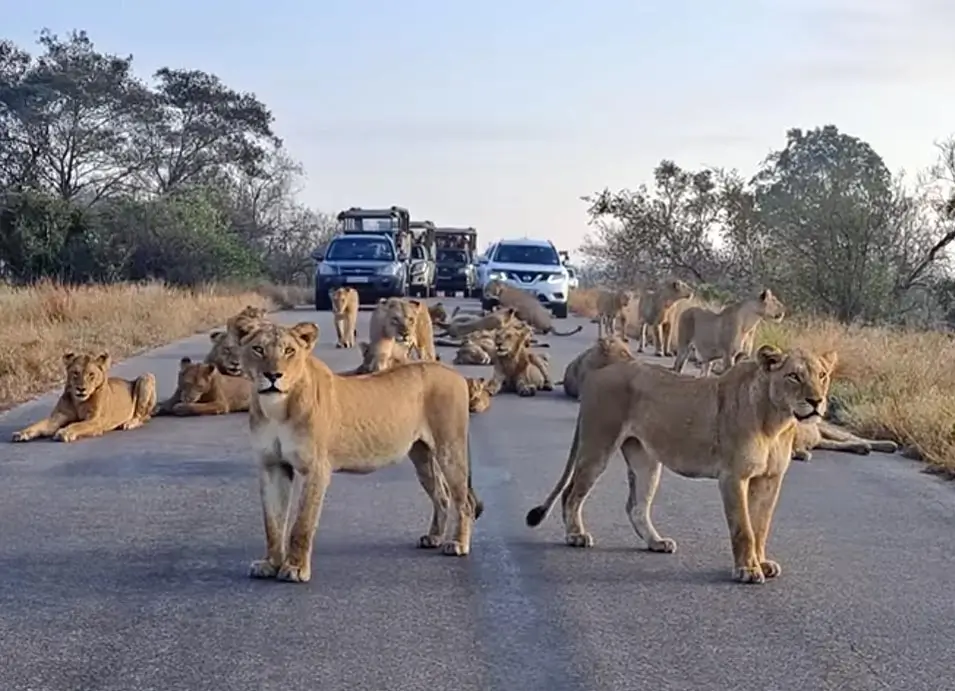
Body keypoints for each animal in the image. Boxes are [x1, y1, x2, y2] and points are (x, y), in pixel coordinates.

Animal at [12, 352, 158, 444]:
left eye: (91, 374)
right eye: (75, 373)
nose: (81, 389)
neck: (78, 402)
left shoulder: (95, 421)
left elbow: (77, 424)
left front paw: (64, 432)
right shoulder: (57, 417)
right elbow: (39, 424)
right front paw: (21, 433)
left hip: (146, 377)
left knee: (143, 417)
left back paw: (128, 423)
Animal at [232, 318, 486, 584]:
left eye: (289, 351)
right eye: (258, 349)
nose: (273, 375)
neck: (277, 408)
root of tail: (456, 374)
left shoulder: (316, 468)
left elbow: (302, 524)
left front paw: (295, 568)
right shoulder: (272, 466)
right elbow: (273, 523)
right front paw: (270, 564)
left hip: (450, 448)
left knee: (464, 501)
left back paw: (457, 544)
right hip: (422, 456)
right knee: (442, 495)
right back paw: (434, 538)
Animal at [524, 344, 836, 584]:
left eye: (822, 375)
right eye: (794, 376)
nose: (816, 401)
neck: (776, 421)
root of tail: (599, 374)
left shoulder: (769, 479)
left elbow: (761, 526)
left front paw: (762, 562)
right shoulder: (733, 476)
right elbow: (743, 529)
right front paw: (747, 569)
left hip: (646, 460)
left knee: (636, 507)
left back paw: (656, 543)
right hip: (598, 446)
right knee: (571, 493)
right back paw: (576, 535)